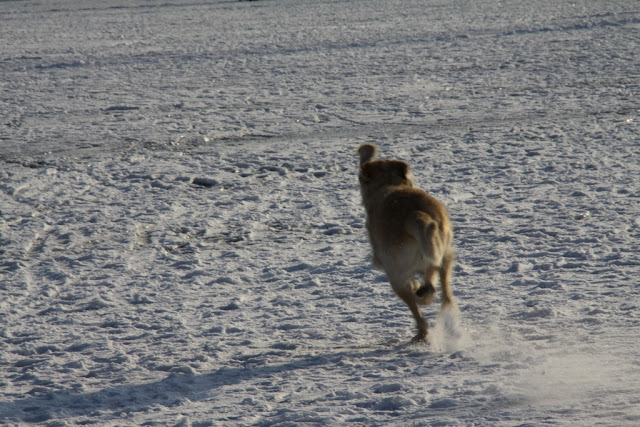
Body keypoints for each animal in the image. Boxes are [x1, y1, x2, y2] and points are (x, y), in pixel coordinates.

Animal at [358, 145, 458, 344]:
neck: (389, 185)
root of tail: (415, 216)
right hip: (445, 253)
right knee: (444, 289)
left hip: (396, 278)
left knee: (417, 308)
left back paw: (421, 328)